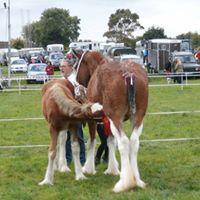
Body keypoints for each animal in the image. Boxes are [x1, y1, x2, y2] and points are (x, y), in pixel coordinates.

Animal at [72, 49, 148, 192]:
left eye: (75, 66)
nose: (76, 89)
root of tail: (128, 73)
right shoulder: (108, 120)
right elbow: (110, 141)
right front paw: (112, 169)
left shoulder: (93, 119)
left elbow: (91, 142)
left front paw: (88, 168)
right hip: (137, 118)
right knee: (134, 142)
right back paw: (137, 180)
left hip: (116, 118)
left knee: (123, 142)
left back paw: (125, 183)